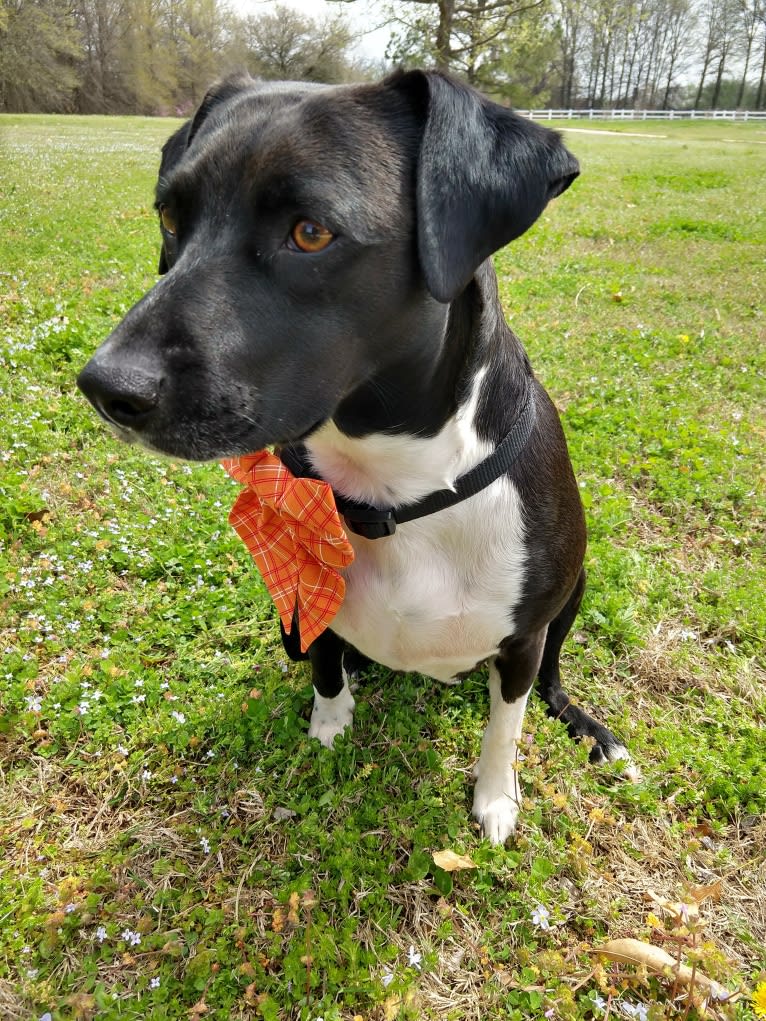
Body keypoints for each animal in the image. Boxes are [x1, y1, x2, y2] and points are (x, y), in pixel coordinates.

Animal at [76, 67, 637, 841]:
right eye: (168, 216)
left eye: (311, 233)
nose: (107, 387)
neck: (398, 488)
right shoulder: (304, 592)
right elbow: (324, 662)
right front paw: (329, 727)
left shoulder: (523, 638)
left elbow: (506, 723)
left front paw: (496, 796)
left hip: (575, 589)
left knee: (549, 676)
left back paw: (585, 726)